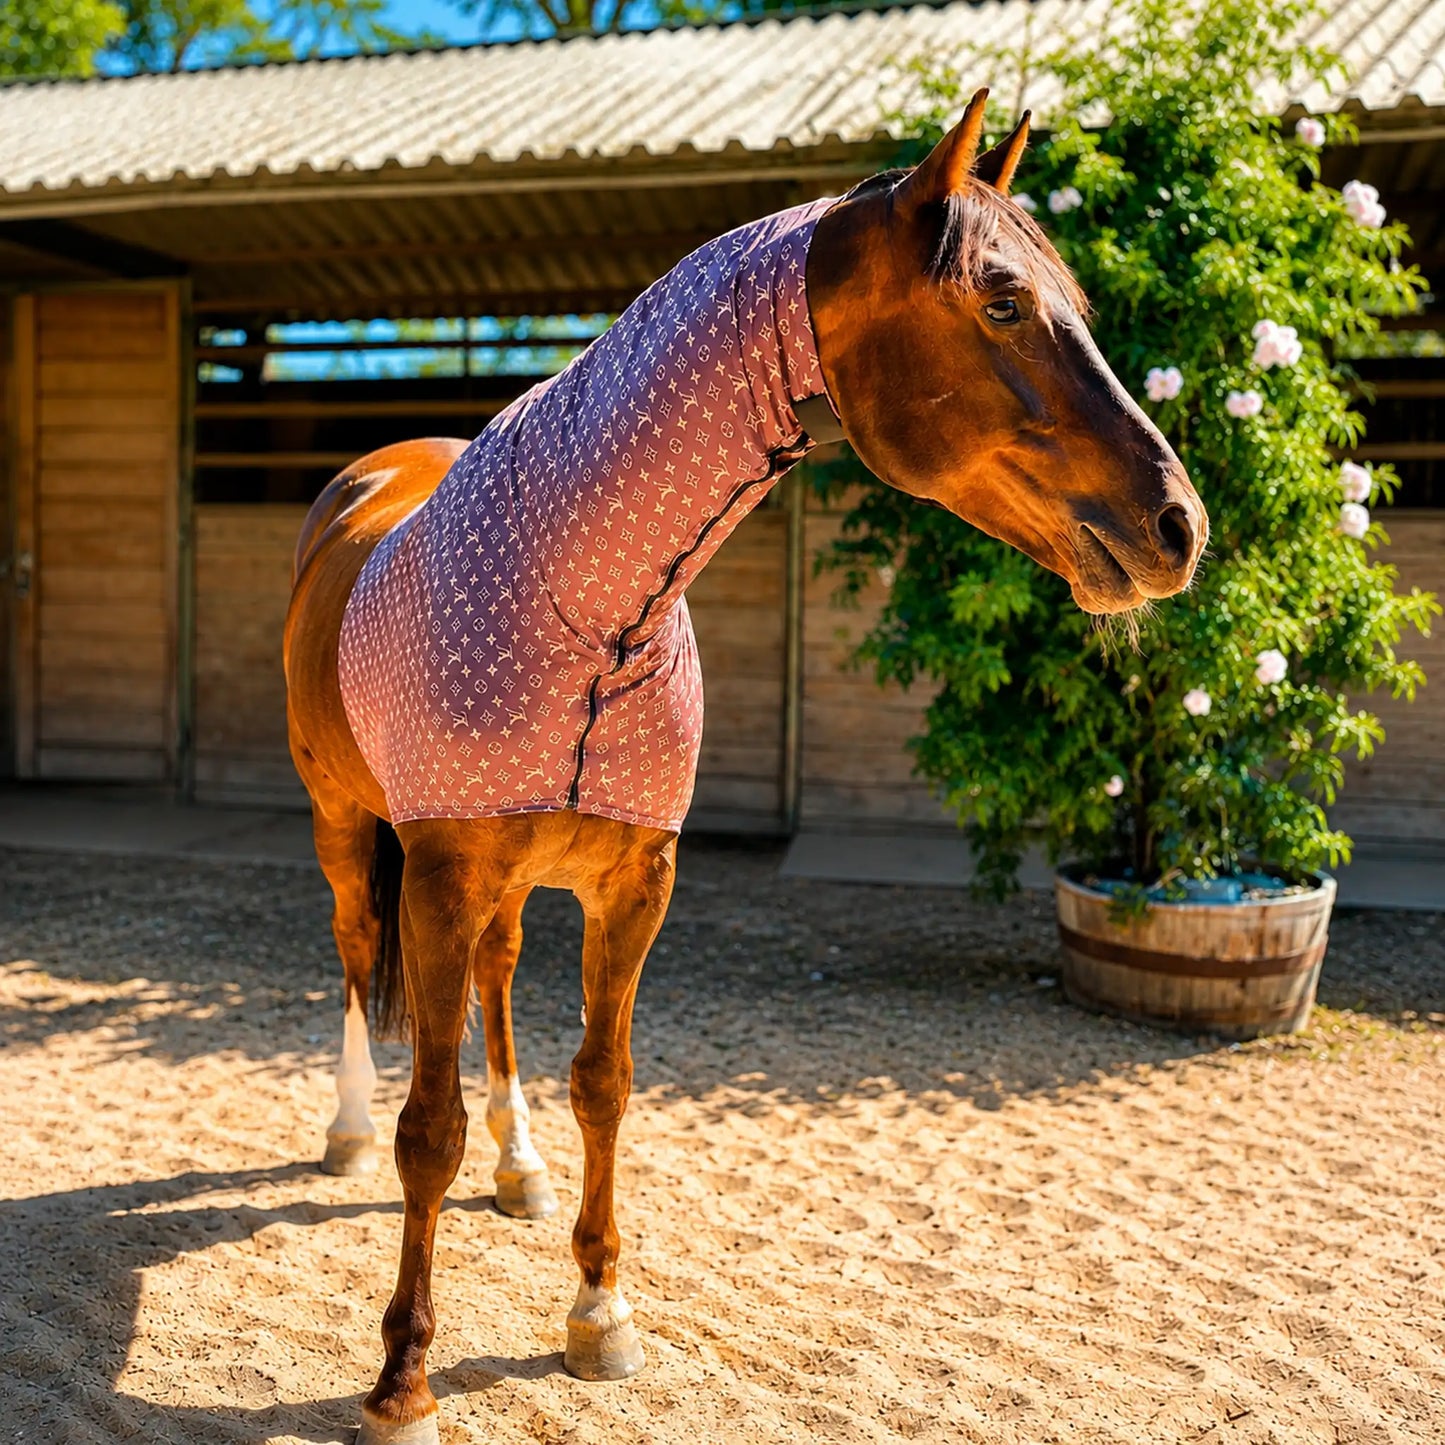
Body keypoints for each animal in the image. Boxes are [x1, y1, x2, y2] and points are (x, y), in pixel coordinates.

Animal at [283, 90, 1207, 1444]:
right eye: (998, 300)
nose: (1176, 525)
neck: (586, 604)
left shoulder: (633, 881)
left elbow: (603, 1083)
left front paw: (598, 1315)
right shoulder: (441, 877)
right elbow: (425, 1129)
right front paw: (402, 1375)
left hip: (501, 886)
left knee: (499, 985)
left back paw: (519, 1164)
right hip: (354, 834)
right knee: (359, 966)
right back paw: (343, 1133)